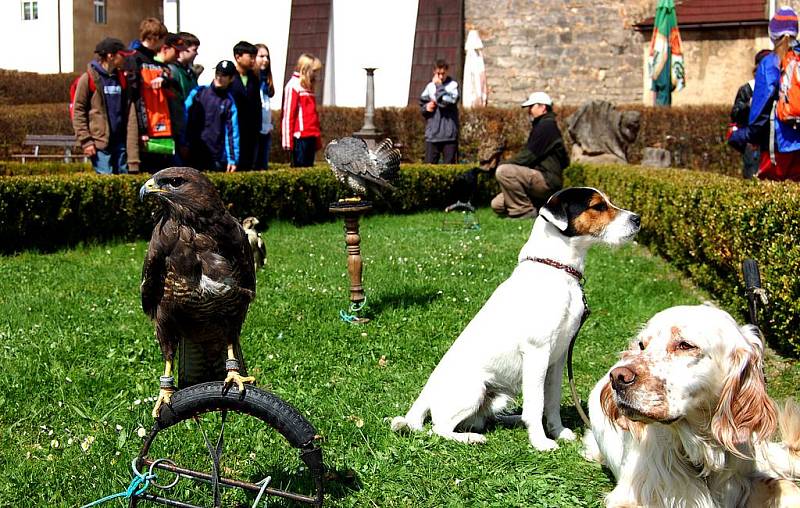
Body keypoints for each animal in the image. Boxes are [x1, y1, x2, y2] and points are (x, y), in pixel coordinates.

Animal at [390, 187, 640, 448]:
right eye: (598, 206)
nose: (638, 219)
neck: (557, 270)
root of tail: (425, 395)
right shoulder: (537, 353)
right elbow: (536, 403)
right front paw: (540, 442)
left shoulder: (558, 358)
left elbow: (551, 401)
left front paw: (558, 431)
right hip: (473, 390)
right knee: (438, 429)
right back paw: (472, 438)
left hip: (498, 397)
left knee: (486, 418)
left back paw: (512, 420)